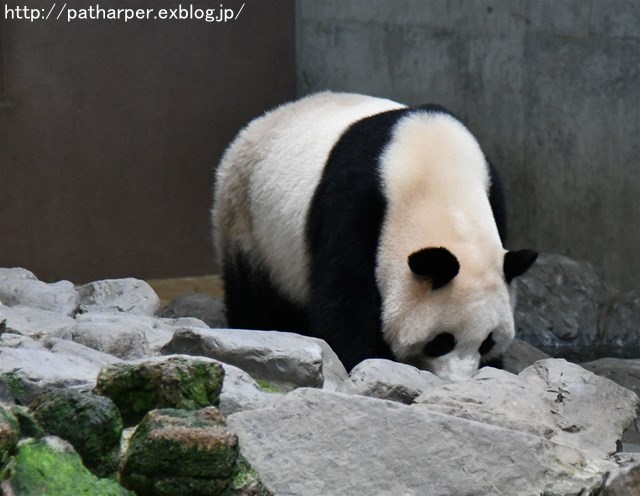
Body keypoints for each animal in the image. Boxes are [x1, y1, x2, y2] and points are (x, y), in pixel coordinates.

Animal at [212, 91, 536, 382]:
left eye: (487, 342)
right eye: (442, 341)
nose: (457, 381)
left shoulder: (493, 194)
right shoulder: (355, 201)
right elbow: (345, 296)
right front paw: (360, 359)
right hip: (246, 217)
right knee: (253, 294)